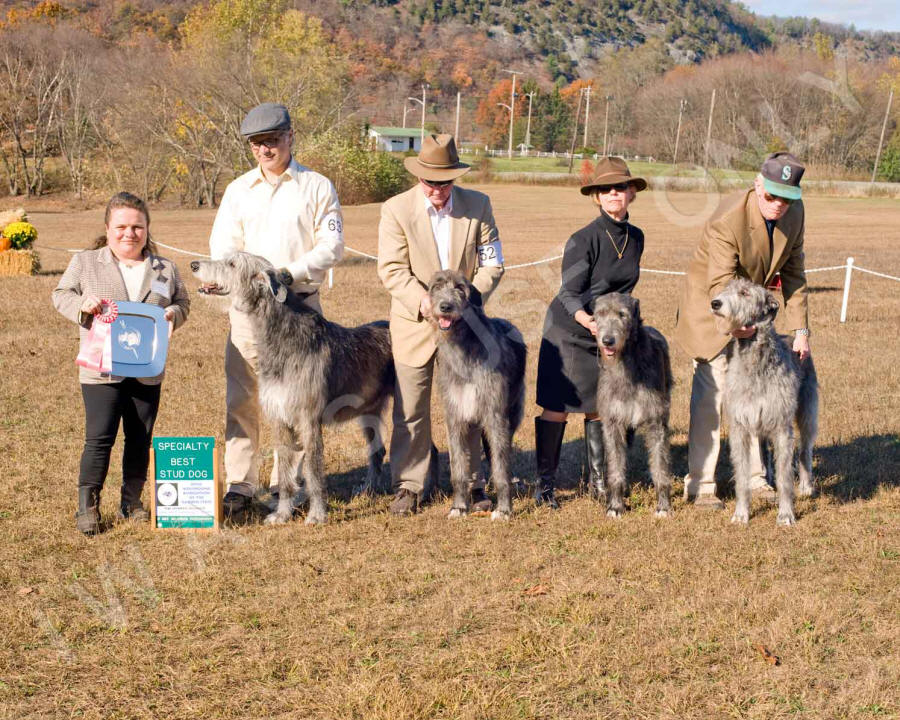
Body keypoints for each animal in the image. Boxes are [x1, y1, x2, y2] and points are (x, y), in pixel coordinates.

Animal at [193, 253, 394, 524]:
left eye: (232, 264)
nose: (194, 265)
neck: (282, 339)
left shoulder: (309, 420)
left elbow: (314, 471)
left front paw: (317, 515)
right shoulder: (279, 418)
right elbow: (285, 472)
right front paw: (282, 513)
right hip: (368, 410)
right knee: (377, 450)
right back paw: (369, 490)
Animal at [428, 270, 528, 516]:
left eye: (460, 288)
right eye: (436, 287)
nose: (445, 307)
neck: (464, 346)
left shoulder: (495, 413)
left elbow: (500, 464)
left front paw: (504, 510)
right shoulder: (454, 415)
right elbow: (457, 467)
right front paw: (458, 506)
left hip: (512, 411)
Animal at [596, 292, 672, 516]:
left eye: (622, 314)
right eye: (599, 314)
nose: (607, 341)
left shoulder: (656, 421)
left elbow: (660, 466)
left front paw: (663, 506)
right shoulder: (612, 422)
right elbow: (615, 467)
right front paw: (615, 506)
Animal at [712, 276, 820, 524]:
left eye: (744, 293)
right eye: (726, 289)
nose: (715, 303)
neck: (755, 360)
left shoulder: (781, 426)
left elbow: (785, 476)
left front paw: (786, 514)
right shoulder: (740, 426)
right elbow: (742, 475)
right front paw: (741, 513)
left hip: (807, 411)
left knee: (805, 448)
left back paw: (806, 486)